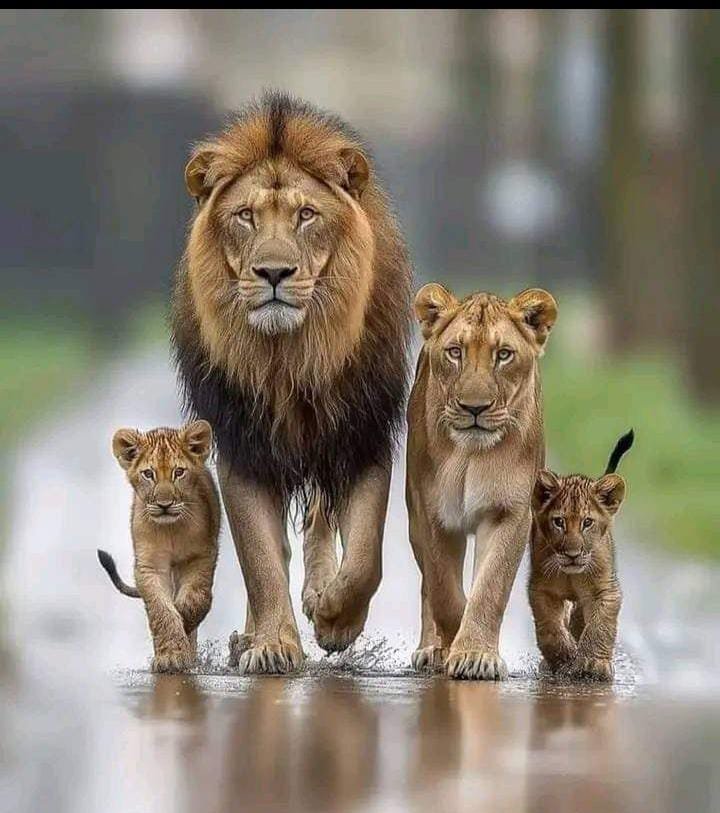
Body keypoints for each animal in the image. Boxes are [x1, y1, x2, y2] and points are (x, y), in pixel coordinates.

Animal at [98, 421, 220, 672]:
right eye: (148, 474)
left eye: (179, 472)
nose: (165, 505)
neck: (170, 529)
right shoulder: (149, 566)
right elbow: (161, 610)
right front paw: (170, 654)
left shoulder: (201, 557)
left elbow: (194, 601)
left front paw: (183, 631)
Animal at [171, 92, 412, 673]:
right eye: (244, 216)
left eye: (306, 215)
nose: (274, 273)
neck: (290, 357)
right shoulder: (243, 444)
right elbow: (260, 558)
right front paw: (274, 643)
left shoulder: (362, 433)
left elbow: (366, 554)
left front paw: (335, 619)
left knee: (322, 521)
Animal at [406, 284, 557, 679]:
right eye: (455, 352)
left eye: (503, 355)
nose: (475, 408)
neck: (471, 455)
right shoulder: (432, 513)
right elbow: (443, 590)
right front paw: (452, 643)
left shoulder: (510, 513)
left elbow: (490, 588)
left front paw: (476, 653)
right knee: (427, 586)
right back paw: (431, 648)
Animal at [528, 429, 633, 682]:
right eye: (559, 522)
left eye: (587, 522)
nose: (573, 555)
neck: (571, 575)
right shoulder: (540, 589)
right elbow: (549, 627)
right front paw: (564, 659)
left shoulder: (606, 590)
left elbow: (600, 626)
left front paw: (593, 664)